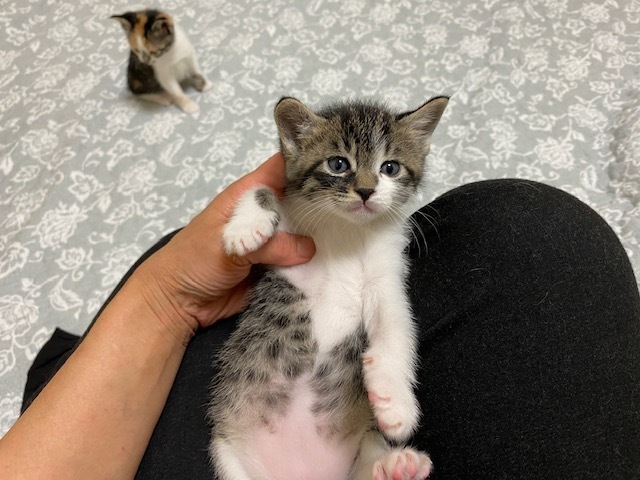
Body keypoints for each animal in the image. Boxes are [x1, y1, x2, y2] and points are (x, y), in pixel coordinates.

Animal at [209, 95, 448, 480]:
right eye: (338, 164)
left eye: (390, 167)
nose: (366, 190)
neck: (348, 232)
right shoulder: (293, 250)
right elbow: (263, 189)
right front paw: (245, 229)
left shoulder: (386, 277)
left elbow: (397, 328)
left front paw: (396, 404)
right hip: (227, 455)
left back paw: (396, 465)